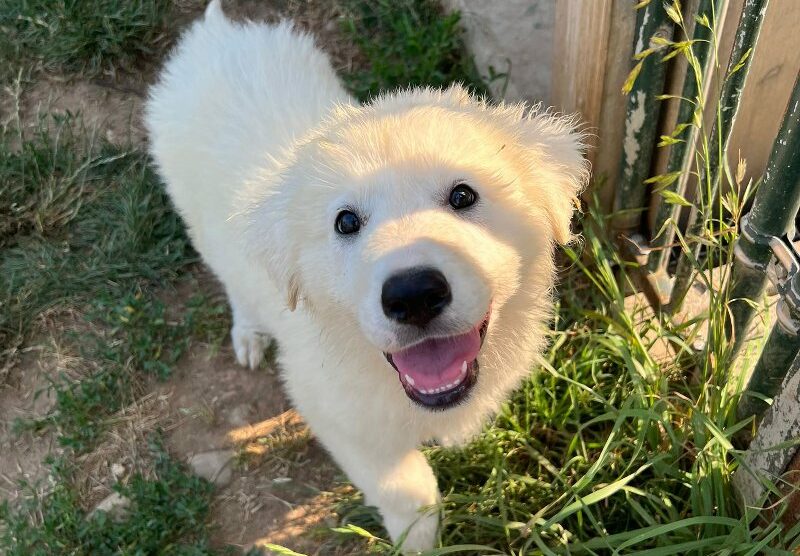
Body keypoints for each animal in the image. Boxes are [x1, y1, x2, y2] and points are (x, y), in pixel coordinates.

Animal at [147, 1, 588, 552]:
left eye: (463, 195)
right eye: (346, 222)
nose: (413, 295)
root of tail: (215, 34)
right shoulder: (336, 414)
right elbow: (406, 489)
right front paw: (419, 541)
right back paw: (248, 335)